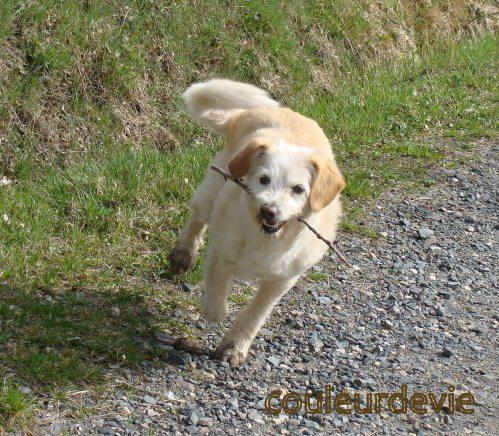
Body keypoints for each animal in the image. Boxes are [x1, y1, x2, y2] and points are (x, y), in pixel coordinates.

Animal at [168, 79, 344, 368]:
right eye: (263, 180)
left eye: (298, 189)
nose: (269, 211)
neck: (264, 239)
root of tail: (243, 114)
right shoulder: (221, 251)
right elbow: (216, 288)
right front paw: (216, 311)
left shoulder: (282, 280)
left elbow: (256, 314)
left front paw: (235, 347)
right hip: (211, 190)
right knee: (197, 218)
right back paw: (183, 254)